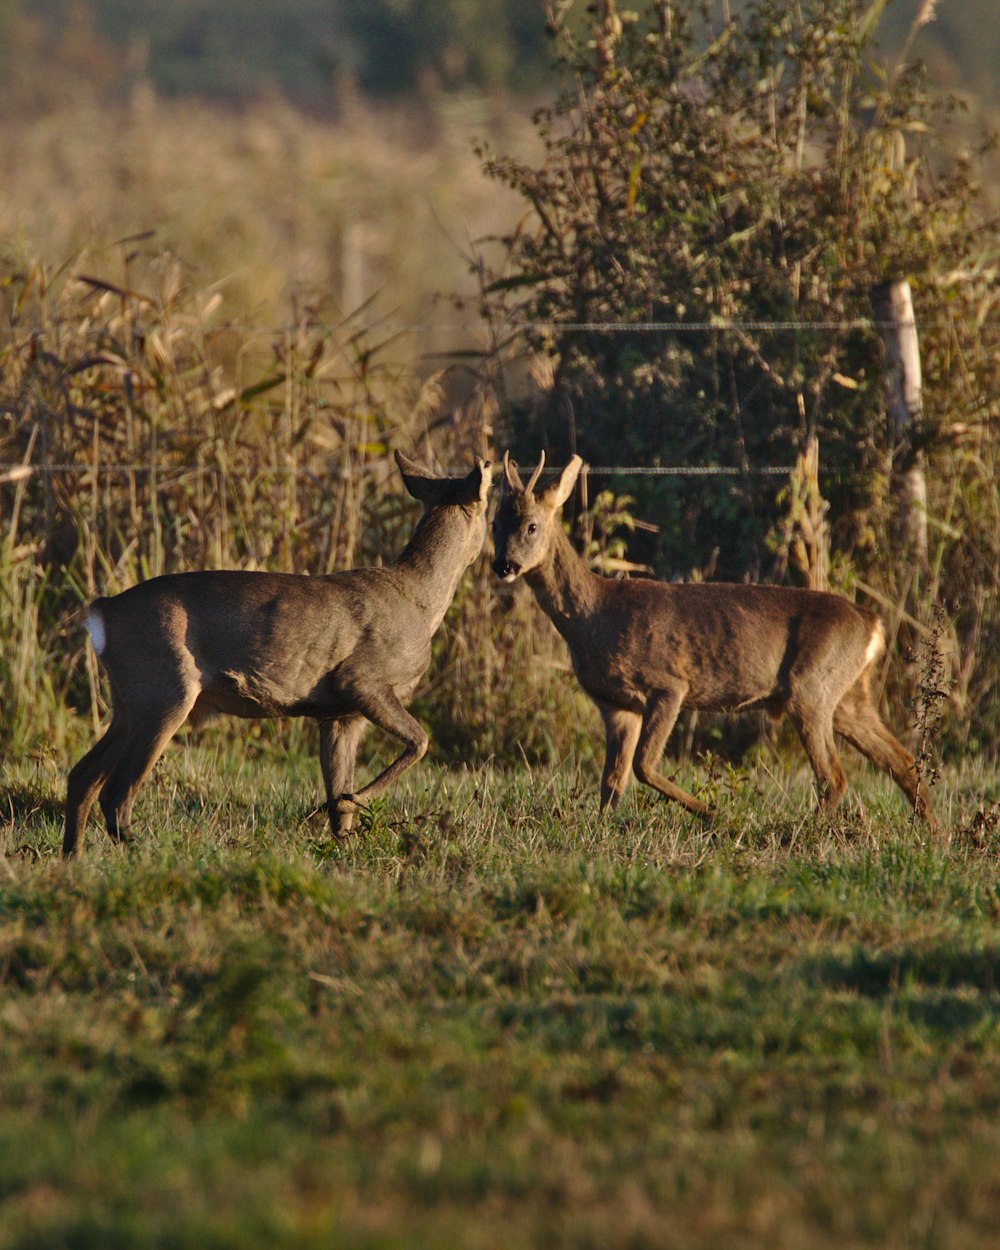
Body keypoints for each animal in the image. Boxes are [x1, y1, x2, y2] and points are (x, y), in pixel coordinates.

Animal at [62, 452, 492, 860]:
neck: (421, 601)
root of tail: (102, 612)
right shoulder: (361, 679)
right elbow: (420, 742)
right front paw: (356, 801)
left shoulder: (340, 716)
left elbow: (340, 801)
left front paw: (344, 838)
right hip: (165, 691)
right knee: (116, 794)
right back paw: (149, 854)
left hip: (129, 701)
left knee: (81, 777)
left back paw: (73, 858)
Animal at [492, 452, 940, 830]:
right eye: (495, 526)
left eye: (531, 526)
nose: (504, 565)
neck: (593, 617)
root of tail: (873, 623)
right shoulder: (616, 705)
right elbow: (612, 781)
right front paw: (603, 829)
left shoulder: (668, 684)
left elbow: (643, 767)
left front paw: (713, 812)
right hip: (847, 696)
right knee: (902, 762)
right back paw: (933, 833)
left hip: (810, 687)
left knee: (834, 776)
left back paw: (798, 830)